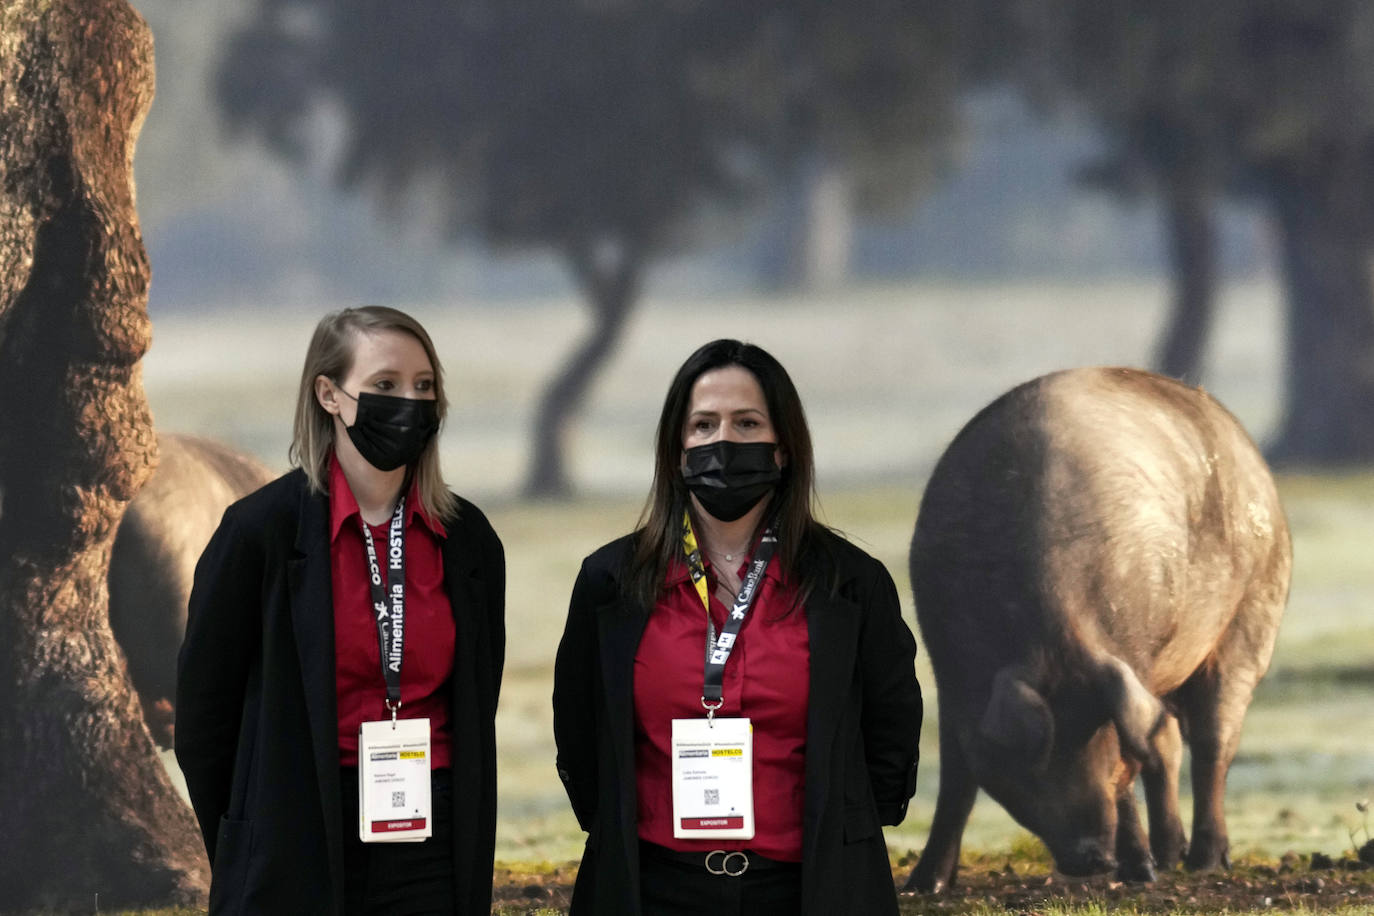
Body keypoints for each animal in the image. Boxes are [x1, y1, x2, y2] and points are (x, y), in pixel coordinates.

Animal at [901, 368, 1286, 889]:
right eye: (1033, 764)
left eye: (1102, 745)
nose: (1094, 858)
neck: (1055, 637)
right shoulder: (949, 671)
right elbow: (956, 779)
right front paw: (925, 885)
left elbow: (1137, 763)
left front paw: (1142, 872)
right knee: (1169, 741)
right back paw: (1169, 858)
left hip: (1254, 612)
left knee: (1210, 742)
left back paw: (1198, 862)